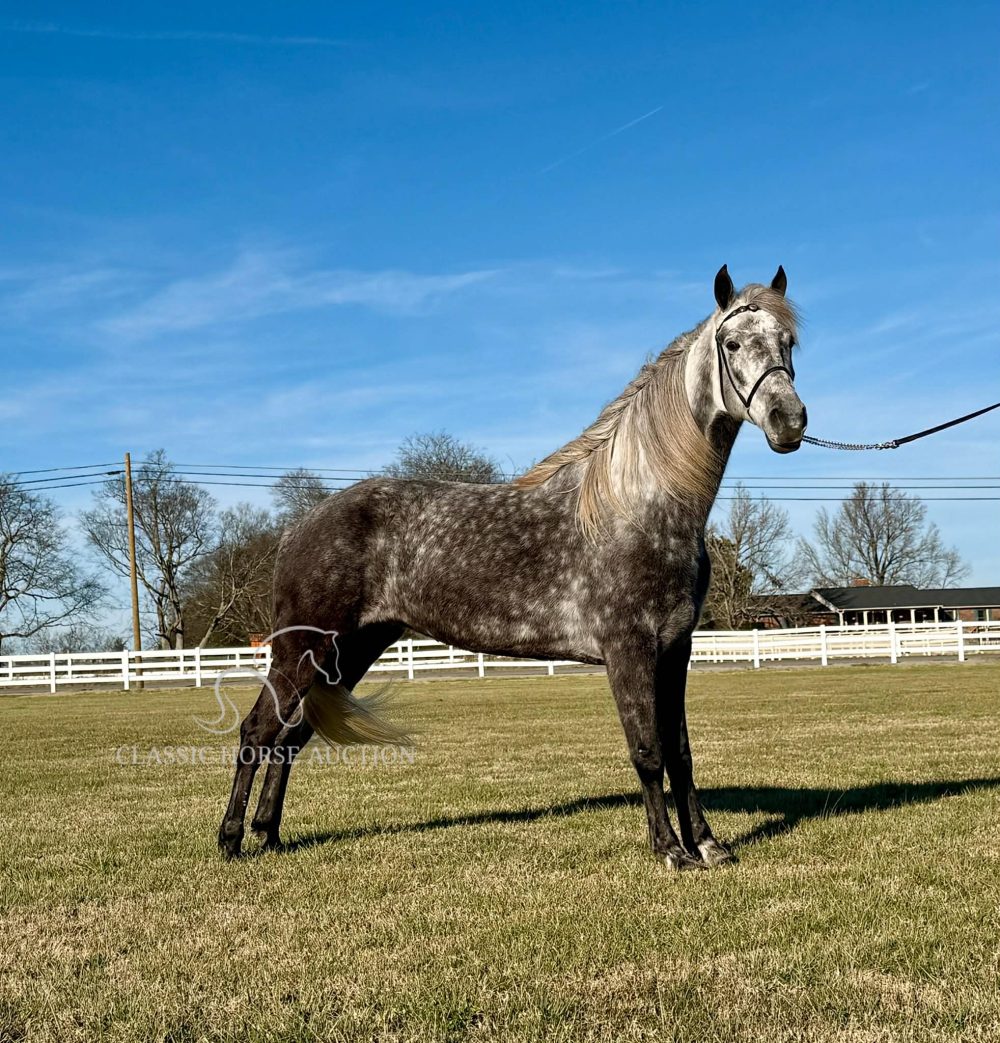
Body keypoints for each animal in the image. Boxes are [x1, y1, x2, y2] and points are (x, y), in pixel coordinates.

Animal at [218, 264, 807, 870]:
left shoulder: (676, 649)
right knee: (257, 733)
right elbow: (647, 751)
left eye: (789, 342)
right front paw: (671, 851)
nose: (788, 421)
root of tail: (297, 528)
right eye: (731, 344)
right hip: (302, 652)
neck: (639, 505)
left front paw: (709, 846)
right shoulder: (629, 649)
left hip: (347, 654)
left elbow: (681, 753)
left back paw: (269, 835)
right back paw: (233, 840)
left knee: (289, 738)